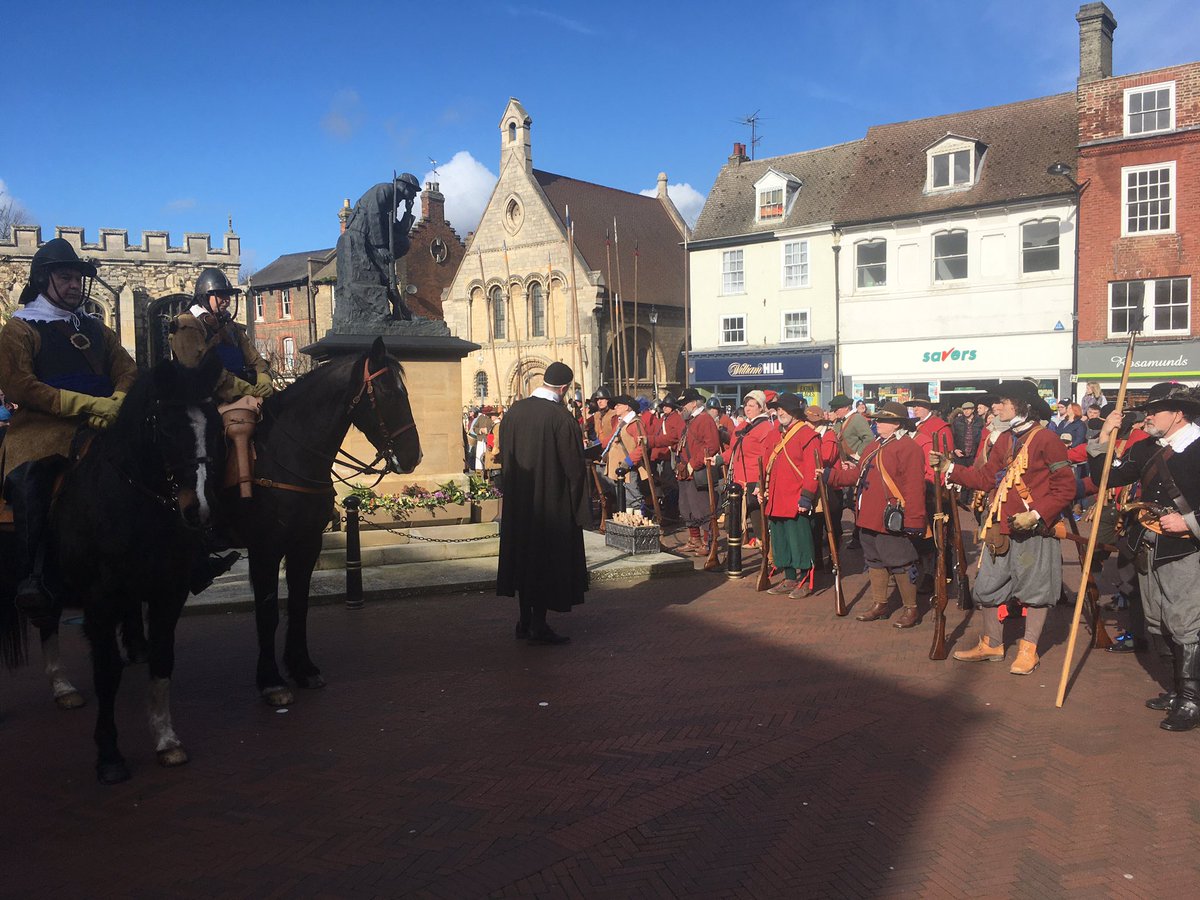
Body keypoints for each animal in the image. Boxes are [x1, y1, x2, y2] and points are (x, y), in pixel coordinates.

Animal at [237, 336, 417, 710]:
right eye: (390, 394)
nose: (414, 455)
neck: (286, 452)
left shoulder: (306, 543)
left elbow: (298, 605)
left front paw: (302, 667)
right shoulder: (265, 547)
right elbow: (267, 612)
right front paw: (271, 681)